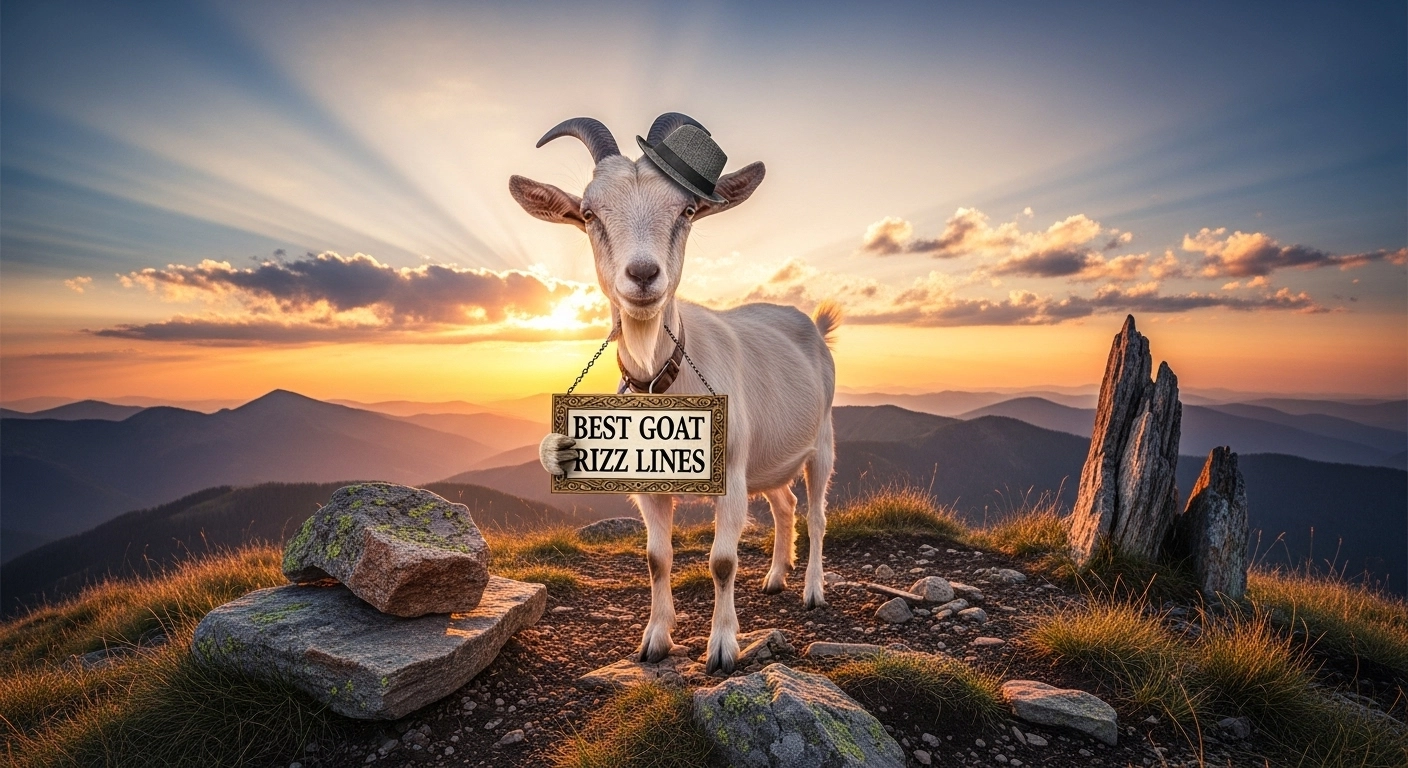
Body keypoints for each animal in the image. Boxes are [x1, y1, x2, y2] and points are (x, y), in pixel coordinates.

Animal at [510, 113, 839, 674]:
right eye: (589, 213)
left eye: (687, 210)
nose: (643, 275)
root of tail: (812, 325)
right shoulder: (651, 485)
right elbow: (656, 558)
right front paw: (655, 641)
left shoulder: (730, 475)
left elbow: (722, 561)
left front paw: (723, 647)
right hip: (768, 456)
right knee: (785, 504)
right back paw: (775, 578)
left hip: (820, 442)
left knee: (815, 514)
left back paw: (813, 591)